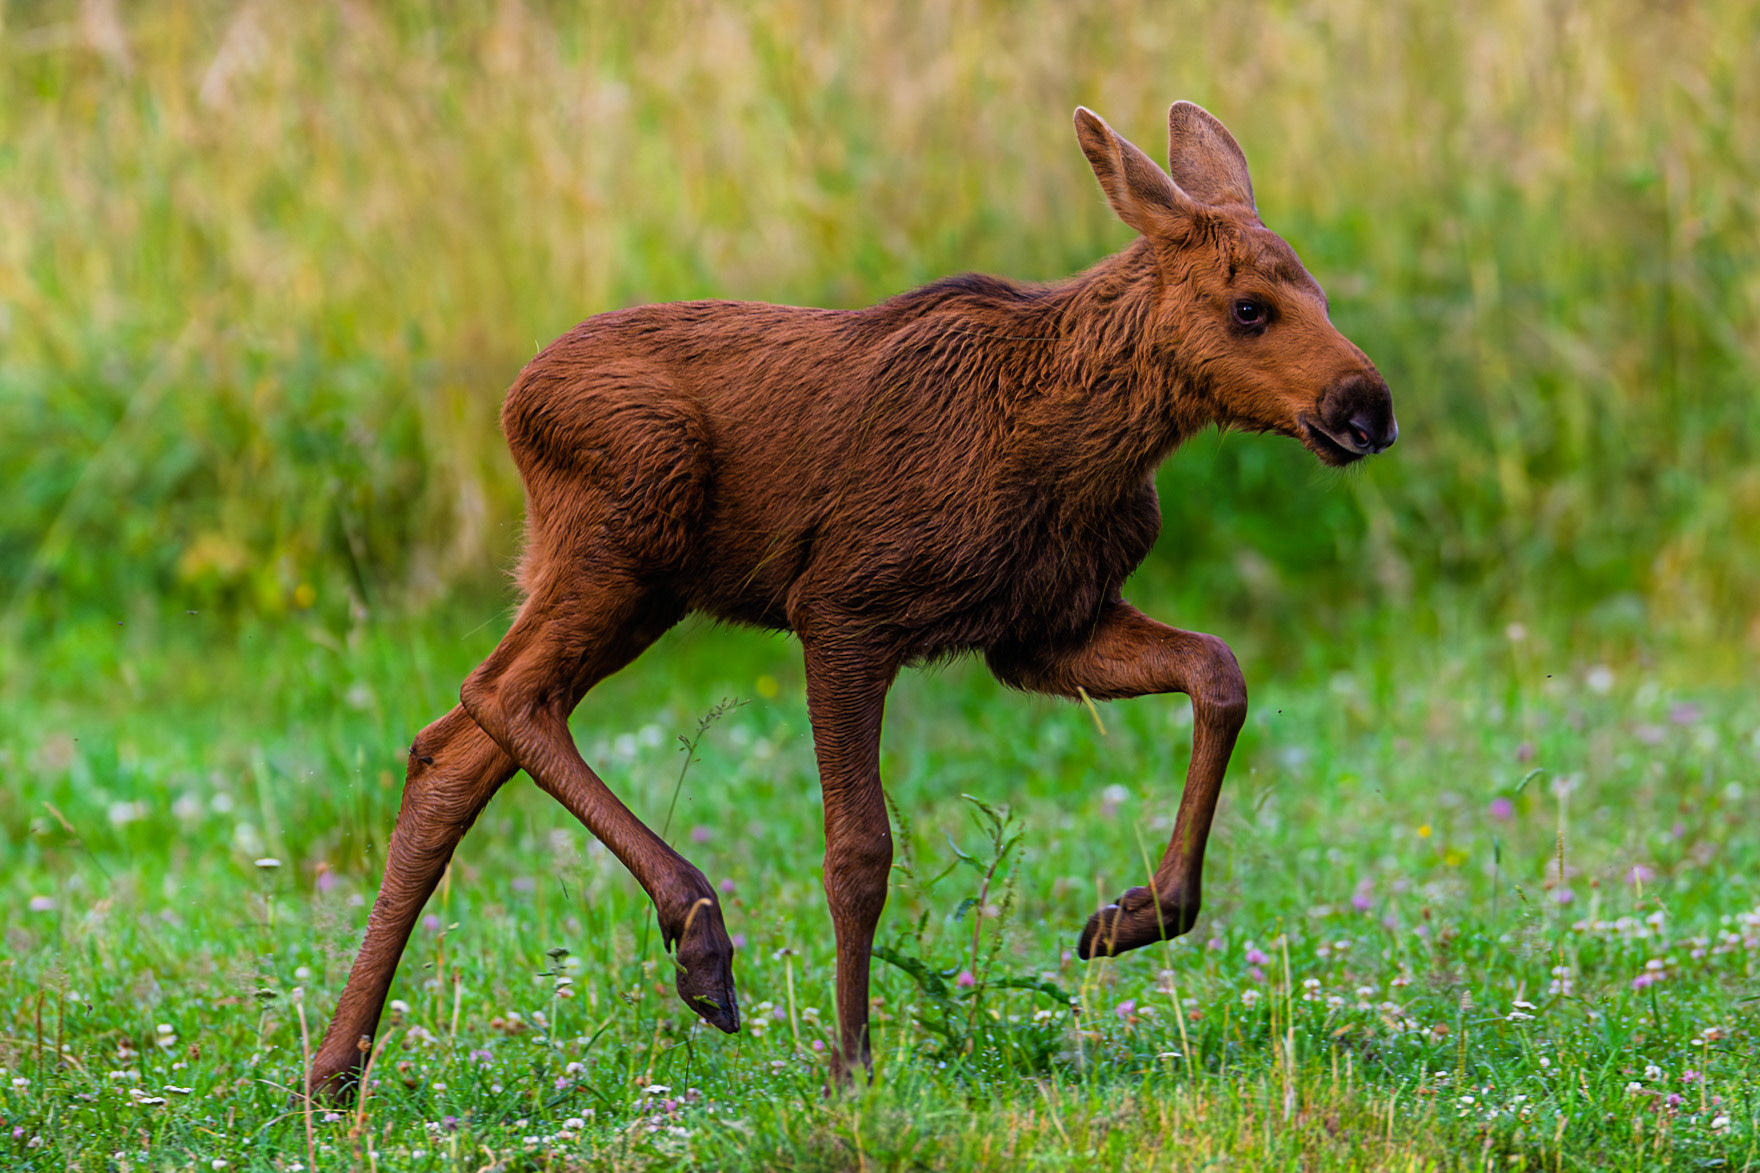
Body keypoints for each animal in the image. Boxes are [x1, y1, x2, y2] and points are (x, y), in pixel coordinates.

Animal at [307, 100, 1396, 1098]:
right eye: (1249, 307)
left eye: (1318, 293)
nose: (1366, 409)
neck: (1081, 443)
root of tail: (513, 403)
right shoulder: (844, 609)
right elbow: (859, 848)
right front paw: (849, 1061)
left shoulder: (1042, 629)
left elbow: (1220, 670)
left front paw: (1135, 915)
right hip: (626, 540)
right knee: (500, 695)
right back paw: (698, 943)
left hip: (618, 580)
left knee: (451, 747)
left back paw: (334, 1066)